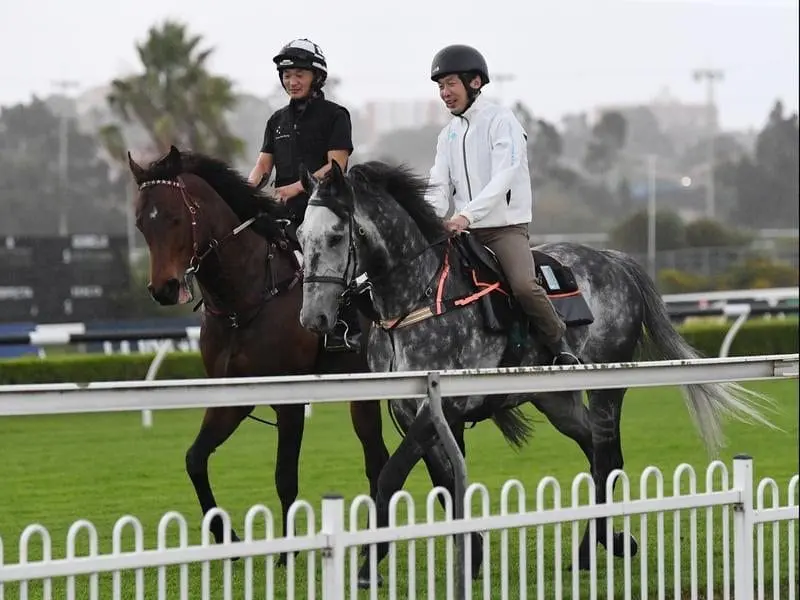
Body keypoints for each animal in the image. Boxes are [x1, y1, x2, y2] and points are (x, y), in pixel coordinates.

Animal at [126, 145, 392, 552]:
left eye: (173, 218)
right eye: (141, 223)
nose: (164, 289)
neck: (246, 300)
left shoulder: (291, 401)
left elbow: (285, 478)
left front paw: (286, 554)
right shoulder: (233, 396)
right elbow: (194, 459)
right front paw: (226, 535)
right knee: (378, 458)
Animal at [294, 162, 776, 584]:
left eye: (336, 236)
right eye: (299, 234)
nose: (314, 318)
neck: (421, 299)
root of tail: (615, 260)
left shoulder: (443, 407)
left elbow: (393, 476)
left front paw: (365, 568)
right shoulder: (412, 409)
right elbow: (448, 483)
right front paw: (470, 555)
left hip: (606, 389)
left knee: (607, 460)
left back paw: (597, 549)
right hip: (557, 402)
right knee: (596, 454)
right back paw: (605, 545)